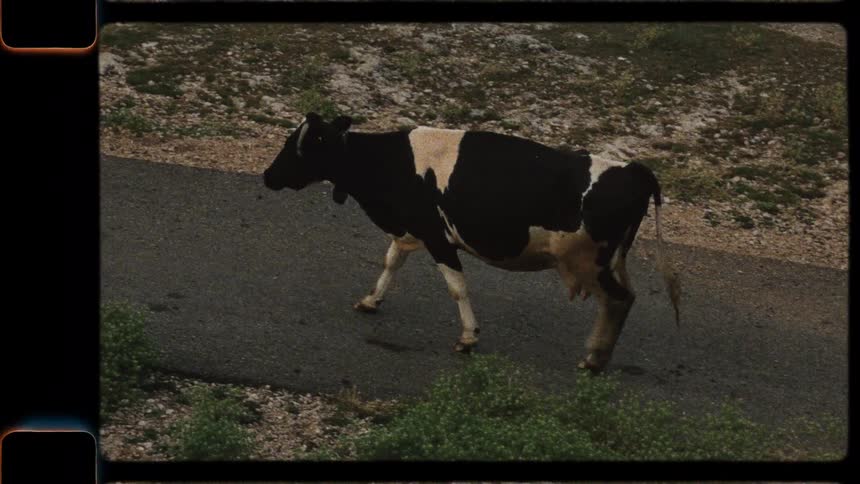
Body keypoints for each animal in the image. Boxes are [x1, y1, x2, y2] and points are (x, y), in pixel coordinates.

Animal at [263, 112, 680, 372]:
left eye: (302, 145)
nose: (267, 176)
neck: (391, 163)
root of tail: (635, 169)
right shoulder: (410, 228)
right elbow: (391, 262)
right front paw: (370, 300)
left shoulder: (437, 236)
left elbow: (456, 287)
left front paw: (468, 338)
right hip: (612, 259)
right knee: (624, 297)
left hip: (589, 261)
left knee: (618, 300)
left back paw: (594, 359)